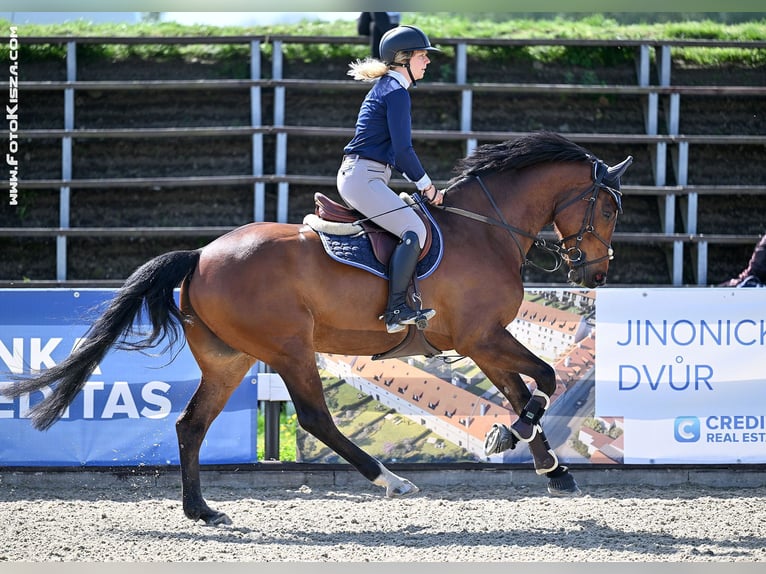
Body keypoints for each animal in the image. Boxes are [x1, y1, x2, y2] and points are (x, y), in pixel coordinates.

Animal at [3, 133, 632, 528]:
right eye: (608, 210)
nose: (596, 274)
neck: (484, 228)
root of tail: (202, 255)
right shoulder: (481, 337)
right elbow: (543, 380)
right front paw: (514, 439)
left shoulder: (484, 341)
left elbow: (524, 391)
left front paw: (551, 468)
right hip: (289, 349)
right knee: (313, 418)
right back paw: (389, 480)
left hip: (230, 360)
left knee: (192, 425)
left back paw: (202, 511)